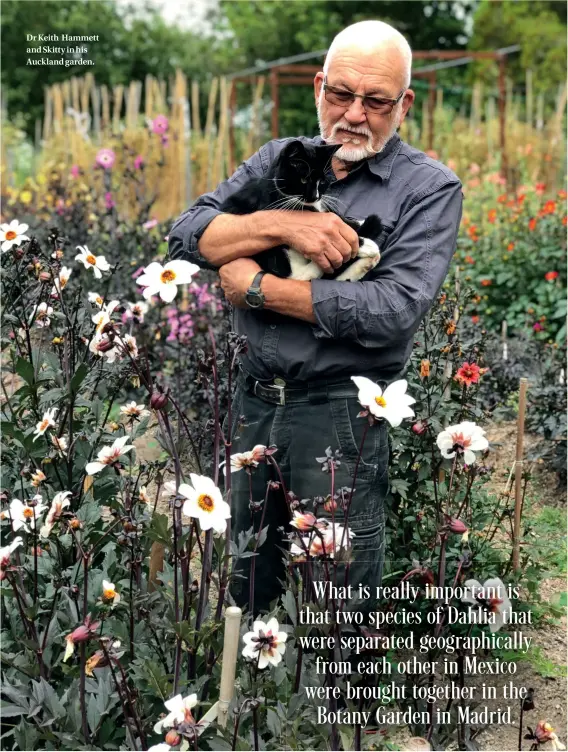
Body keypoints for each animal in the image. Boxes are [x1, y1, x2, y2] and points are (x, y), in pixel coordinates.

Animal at [220, 139, 384, 282]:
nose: (315, 196)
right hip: (270, 252)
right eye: (303, 180)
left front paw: (357, 222)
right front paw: (363, 241)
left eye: (322, 181)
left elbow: (335, 216)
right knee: (297, 275)